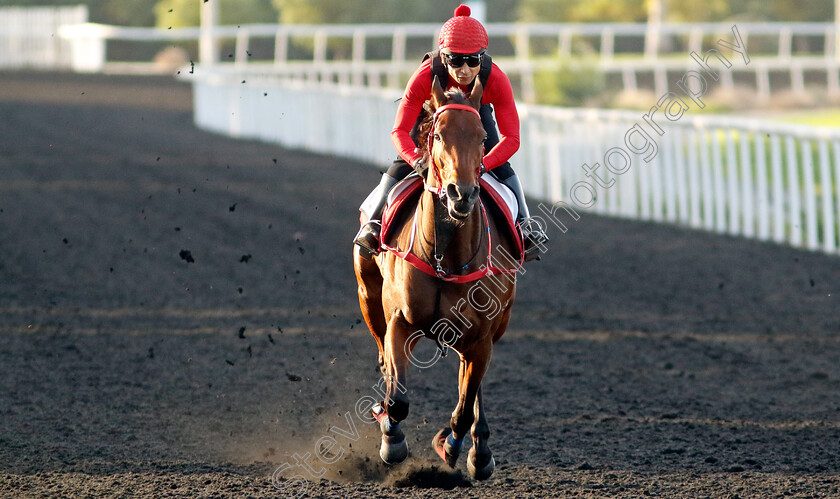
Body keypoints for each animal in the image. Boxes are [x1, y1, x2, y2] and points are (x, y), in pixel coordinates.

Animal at [350, 76, 520, 482]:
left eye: (482, 137)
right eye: (439, 135)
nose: (462, 193)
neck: (447, 256)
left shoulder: (481, 337)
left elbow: (464, 406)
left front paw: (454, 446)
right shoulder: (399, 321)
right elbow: (397, 398)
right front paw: (392, 440)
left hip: (493, 327)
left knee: (471, 388)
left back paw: (480, 449)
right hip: (368, 296)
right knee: (385, 360)